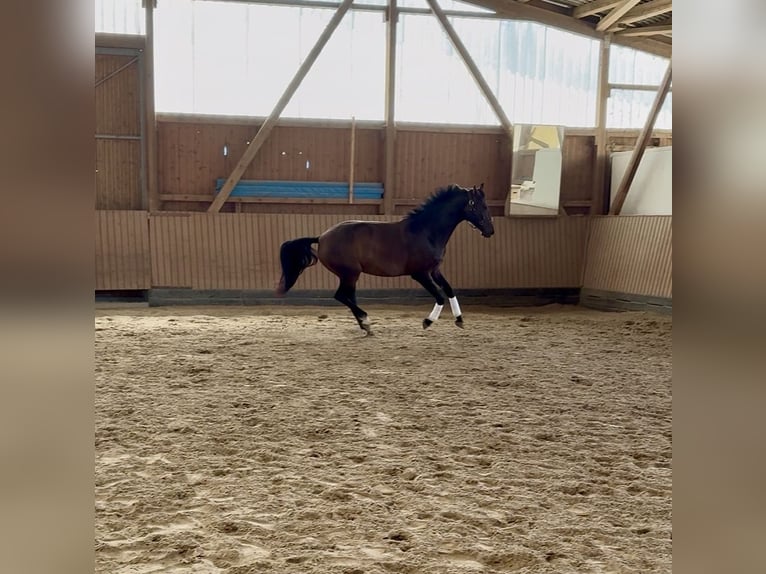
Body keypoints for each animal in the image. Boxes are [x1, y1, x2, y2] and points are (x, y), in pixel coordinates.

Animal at [276, 183, 495, 334]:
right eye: (482, 206)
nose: (490, 231)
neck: (426, 231)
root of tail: (321, 237)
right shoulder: (420, 274)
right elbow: (440, 295)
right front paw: (427, 322)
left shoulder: (435, 270)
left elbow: (449, 290)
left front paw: (460, 320)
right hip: (350, 273)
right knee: (341, 296)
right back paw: (365, 320)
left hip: (350, 276)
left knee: (348, 296)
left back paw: (365, 326)